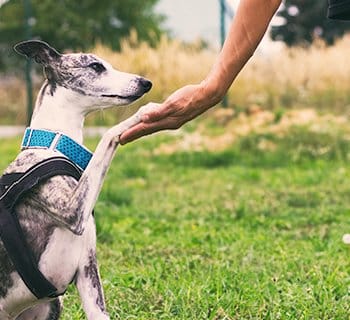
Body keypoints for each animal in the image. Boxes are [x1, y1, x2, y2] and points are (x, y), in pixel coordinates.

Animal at [0, 40, 152, 320]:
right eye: (96, 66)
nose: (145, 83)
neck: (52, 144)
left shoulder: (88, 273)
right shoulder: (72, 210)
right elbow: (108, 135)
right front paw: (142, 113)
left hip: (51, 306)